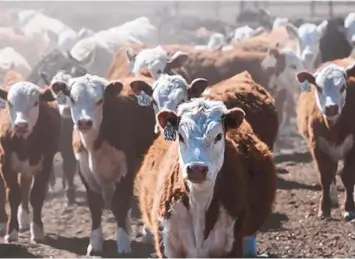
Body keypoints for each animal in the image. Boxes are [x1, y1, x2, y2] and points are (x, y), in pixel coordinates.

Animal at [0, 81, 59, 244]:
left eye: (35, 102)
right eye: (10, 102)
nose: (21, 125)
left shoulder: (46, 163)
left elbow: (36, 195)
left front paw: (37, 230)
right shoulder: (5, 163)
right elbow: (13, 195)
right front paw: (11, 232)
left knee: (25, 186)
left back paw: (24, 219)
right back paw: (3, 223)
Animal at [50, 73, 156, 256]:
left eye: (100, 100)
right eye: (72, 99)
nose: (84, 122)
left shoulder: (126, 170)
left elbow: (120, 203)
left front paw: (123, 243)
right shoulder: (85, 172)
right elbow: (95, 205)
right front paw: (95, 243)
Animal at [135, 98, 276, 258]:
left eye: (218, 136)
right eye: (181, 136)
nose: (196, 168)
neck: (199, 203)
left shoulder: (233, 245)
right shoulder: (167, 244)